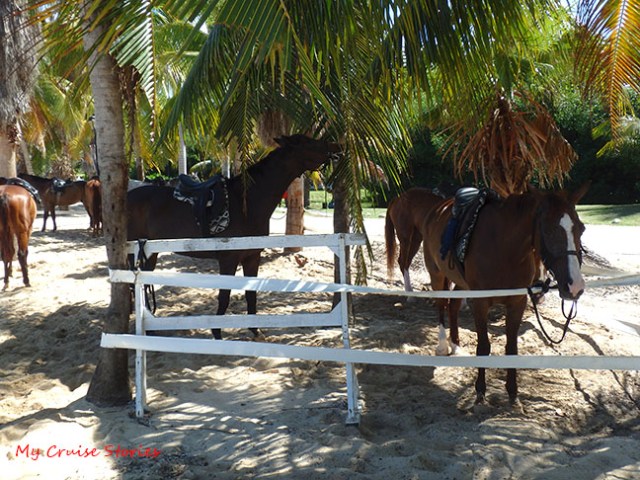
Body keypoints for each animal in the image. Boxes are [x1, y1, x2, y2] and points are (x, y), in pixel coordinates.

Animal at [127, 134, 342, 339]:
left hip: (149, 253)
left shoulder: (252, 256)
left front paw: (255, 331)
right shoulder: (228, 259)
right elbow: (225, 296)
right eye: (306, 142)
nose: (336, 146)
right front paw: (217, 332)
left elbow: (251, 293)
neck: (246, 203)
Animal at [420, 183, 589, 405]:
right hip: (437, 274)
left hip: (461, 283)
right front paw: (480, 392)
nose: (575, 286)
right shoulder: (480, 303)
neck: (504, 248)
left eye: (581, 228)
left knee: (454, 306)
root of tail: (438, 208)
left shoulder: (517, 302)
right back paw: (442, 345)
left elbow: (511, 348)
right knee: (442, 305)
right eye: (548, 229)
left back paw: (456, 345)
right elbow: (483, 347)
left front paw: (512, 393)